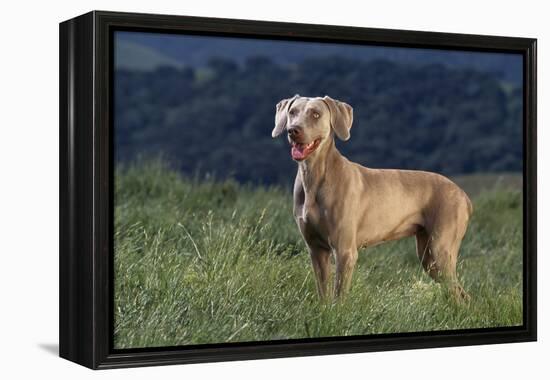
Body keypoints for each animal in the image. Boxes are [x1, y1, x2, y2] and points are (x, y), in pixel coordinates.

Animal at [272, 94, 474, 300]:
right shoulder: (316, 250)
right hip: (428, 256)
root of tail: (463, 195)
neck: (314, 177)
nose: (293, 130)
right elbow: (324, 296)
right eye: (292, 112)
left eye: (315, 114)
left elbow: (339, 298)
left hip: (440, 249)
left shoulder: (345, 252)